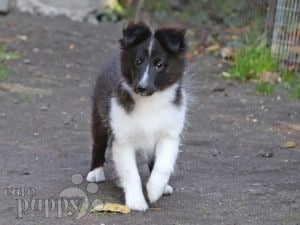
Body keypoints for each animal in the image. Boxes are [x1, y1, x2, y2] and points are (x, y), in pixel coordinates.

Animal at [85, 21, 186, 211]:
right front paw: (136, 202)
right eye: (138, 62)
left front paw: (155, 190)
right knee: (99, 143)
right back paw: (95, 172)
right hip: (100, 115)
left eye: (159, 64)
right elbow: (130, 172)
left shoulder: (169, 133)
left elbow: (163, 165)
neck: (149, 102)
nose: (142, 87)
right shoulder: (123, 137)